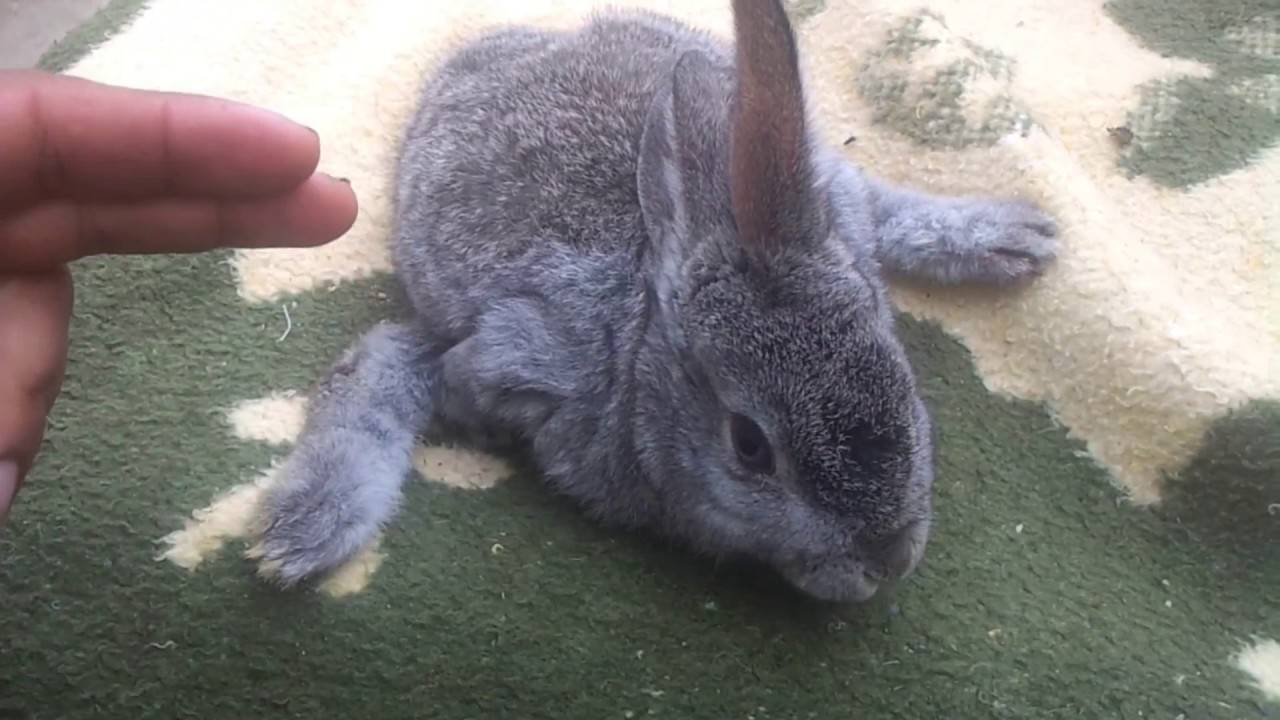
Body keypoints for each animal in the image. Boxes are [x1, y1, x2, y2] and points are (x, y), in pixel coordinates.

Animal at [250, 0, 1058, 603]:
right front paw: (298, 535)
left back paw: (1019, 235)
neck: (642, 339)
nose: (887, 562)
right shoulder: (507, 357)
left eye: (897, 368)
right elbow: (384, 364)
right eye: (750, 446)